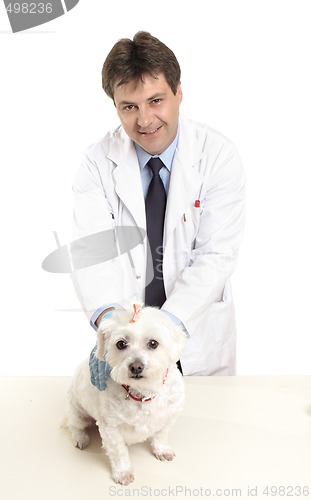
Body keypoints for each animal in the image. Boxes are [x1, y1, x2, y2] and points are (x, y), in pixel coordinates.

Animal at [62, 304, 186, 484]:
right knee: (75, 427)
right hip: (78, 413)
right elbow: (119, 451)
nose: (136, 366)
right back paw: (81, 438)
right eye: (121, 344)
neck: (143, 393)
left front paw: (162, 450)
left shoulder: (170, 416)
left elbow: (161, 435)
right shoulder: (110, 428)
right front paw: (123, 472)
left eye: (153, 343)